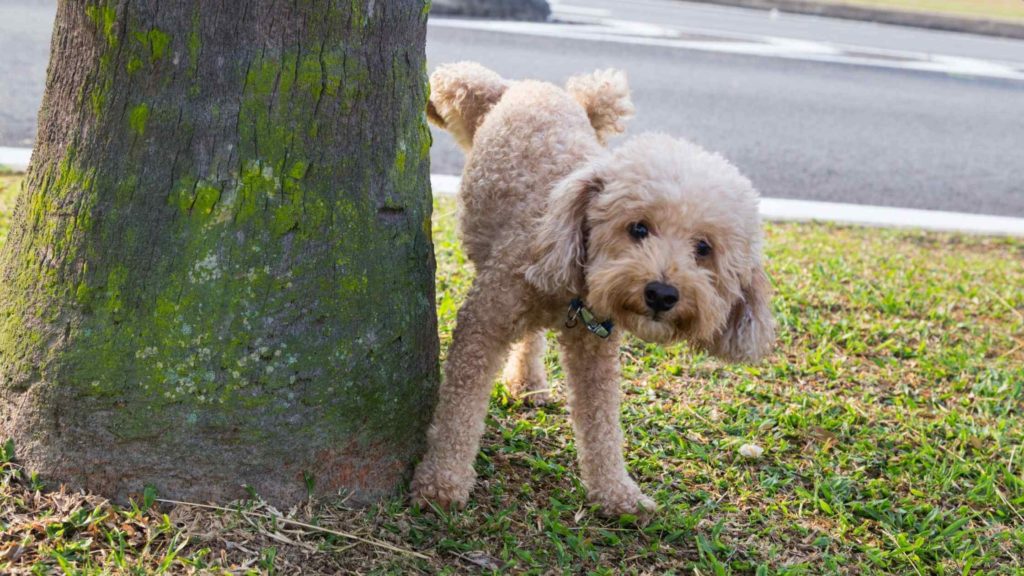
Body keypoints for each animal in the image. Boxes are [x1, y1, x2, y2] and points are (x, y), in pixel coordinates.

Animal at [411, 61, 770, 510]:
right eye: (638, 228)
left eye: (703, 248)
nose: (662, 294)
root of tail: (534, 87)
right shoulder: (485, 320)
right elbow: (460, 407)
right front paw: (442, 480)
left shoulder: (595, 347)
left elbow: (601, 422)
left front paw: (617, 492)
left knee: (531, 339)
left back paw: (529, 382)